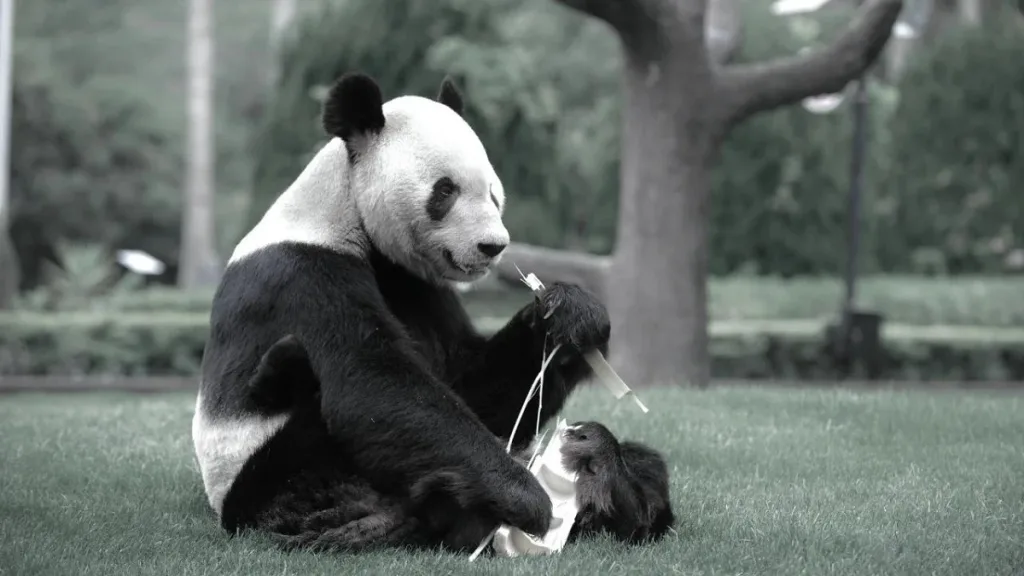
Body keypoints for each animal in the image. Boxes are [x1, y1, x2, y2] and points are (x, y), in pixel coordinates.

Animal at [190, 72, 614, 553]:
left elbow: (472, 384)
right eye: (445, 191)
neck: (345, 209)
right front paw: (526, 498)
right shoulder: (302, 275)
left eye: (493, 192)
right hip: (264, 471)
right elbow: (373, 384)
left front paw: (571, 317)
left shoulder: (420, 287)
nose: (492, 246)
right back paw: (354, 521)